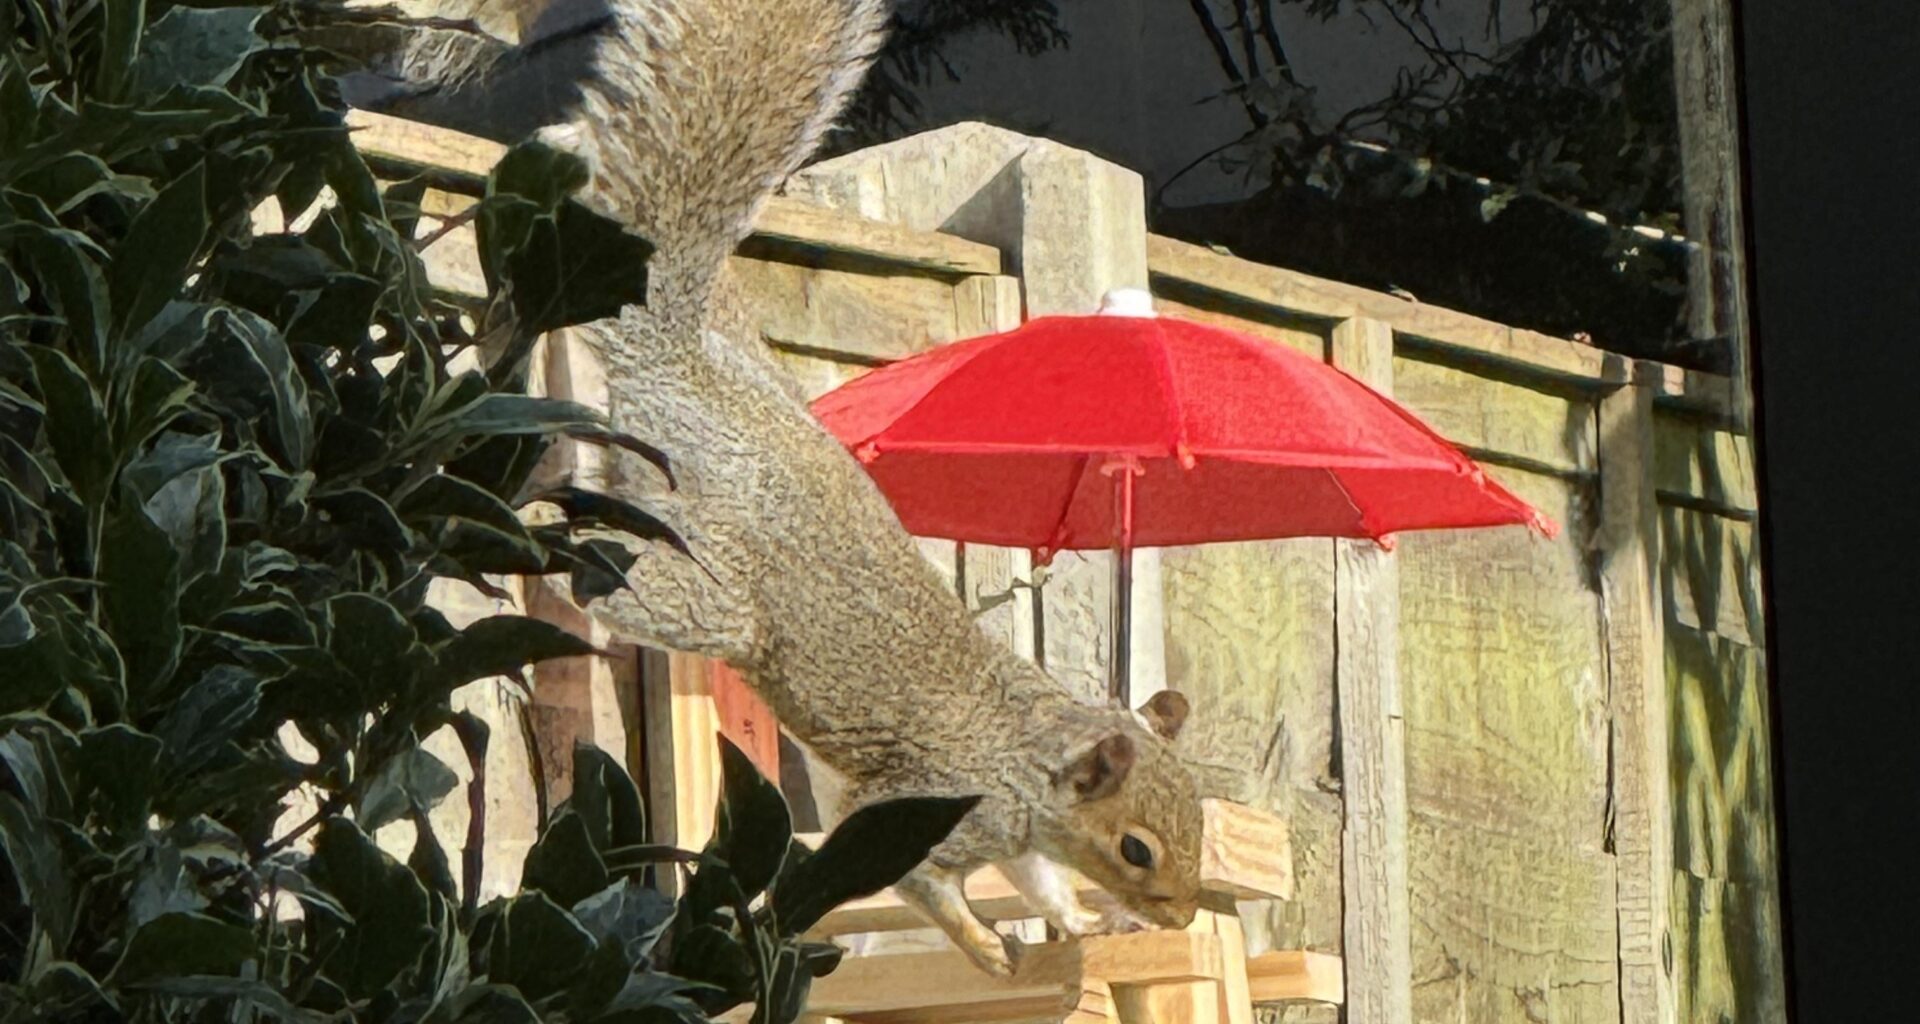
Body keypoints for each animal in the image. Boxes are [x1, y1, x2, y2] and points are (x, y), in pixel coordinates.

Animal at [360, 0, 1198, 975]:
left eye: (1201, 820)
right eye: (1136, 848)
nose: (1184, 916)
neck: (1024, 759)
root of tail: (682, 368)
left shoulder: (1016, 839)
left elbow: (1040, 882)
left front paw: (1074, 924)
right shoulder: (930, 807)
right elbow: (919, 881)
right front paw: (985, 946)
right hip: (709, 592)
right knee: (614, 575)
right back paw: (534, 530)